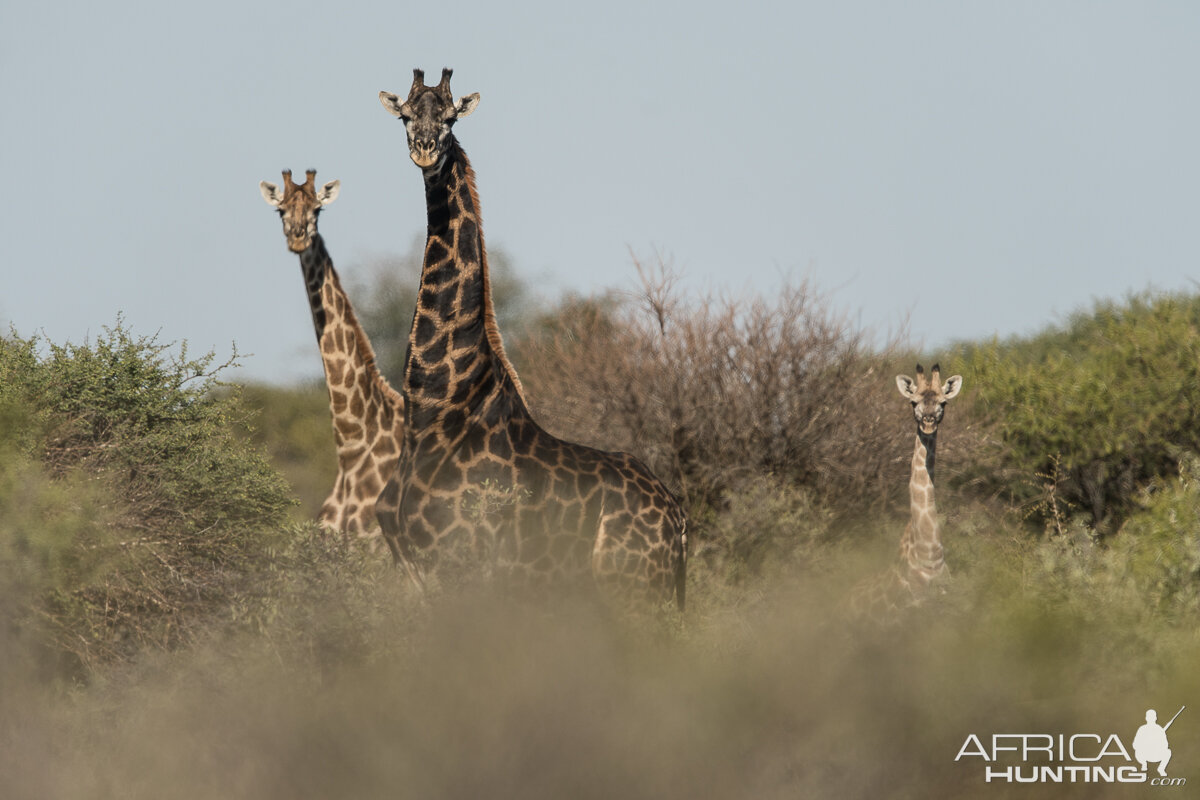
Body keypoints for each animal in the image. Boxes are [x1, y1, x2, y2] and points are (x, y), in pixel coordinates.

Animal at [374, 70, 691, 606]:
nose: (425, 150)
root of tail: (679, 520)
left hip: (632, 586)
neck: (431, 411)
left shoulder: (462, 564)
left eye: (450, 117)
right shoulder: (413, 569)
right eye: (406, 115)